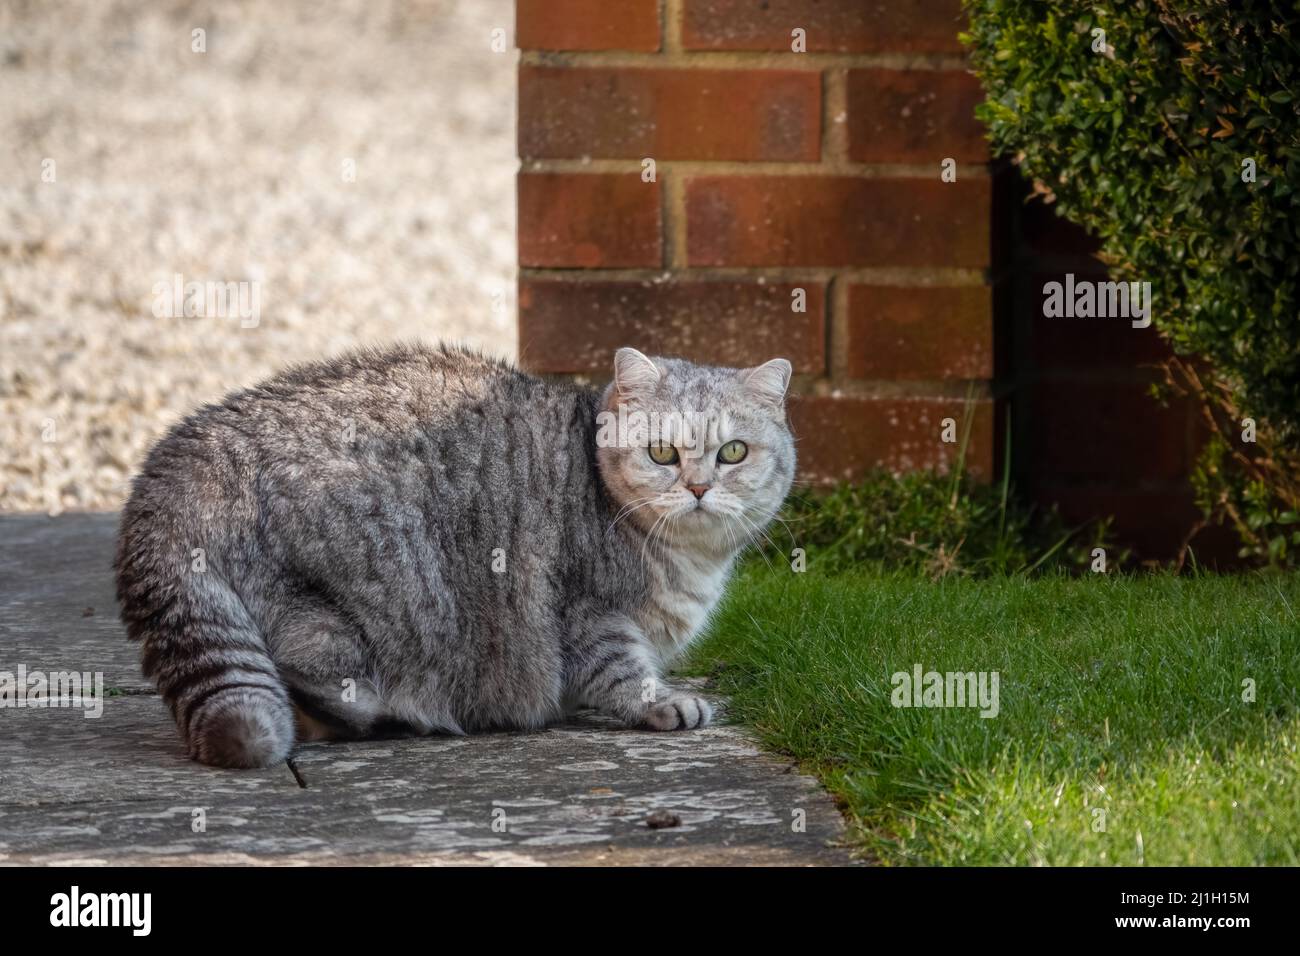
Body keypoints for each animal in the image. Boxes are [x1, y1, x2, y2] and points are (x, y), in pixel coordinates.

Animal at [114, 344, 795, 768]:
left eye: (733, 453)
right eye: (661, 453)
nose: (698, 487)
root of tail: (186, 453)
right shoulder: (586, 608)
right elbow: (621, 670)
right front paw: (658, 703)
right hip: (354, 607)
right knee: (304, 675)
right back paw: (399, 718)